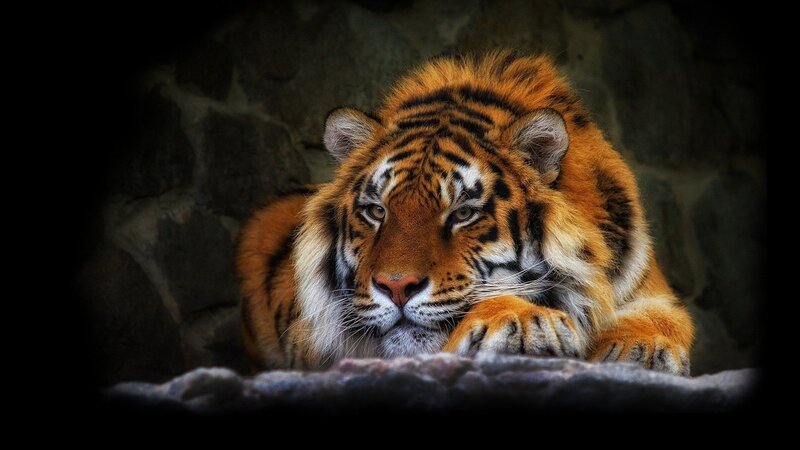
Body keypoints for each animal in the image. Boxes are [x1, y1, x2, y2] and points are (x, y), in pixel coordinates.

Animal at [237, 50, 694, 376]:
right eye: (376, 211)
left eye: (462, 214)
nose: (396, 287)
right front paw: (523, 321)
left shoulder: (648, 287)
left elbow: (663, 317)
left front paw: (639, 348)